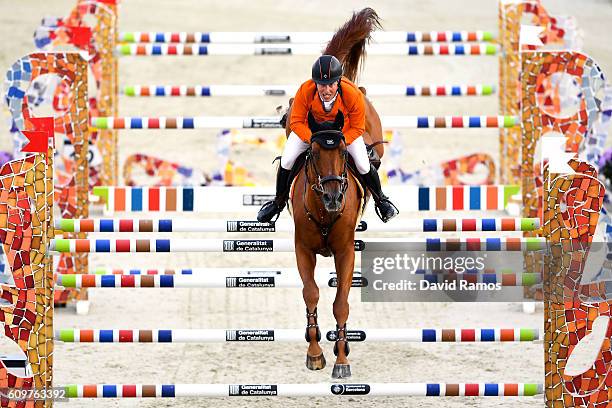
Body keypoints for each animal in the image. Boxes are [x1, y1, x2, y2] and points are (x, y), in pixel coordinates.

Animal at [284, 7, 382, 380]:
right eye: (312, 153)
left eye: (341, 153)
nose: (333, 199)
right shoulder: (302, 249)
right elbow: (311, 294)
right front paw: (315, 354)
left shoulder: (344, 251)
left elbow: (341, 303)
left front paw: (342, 359)